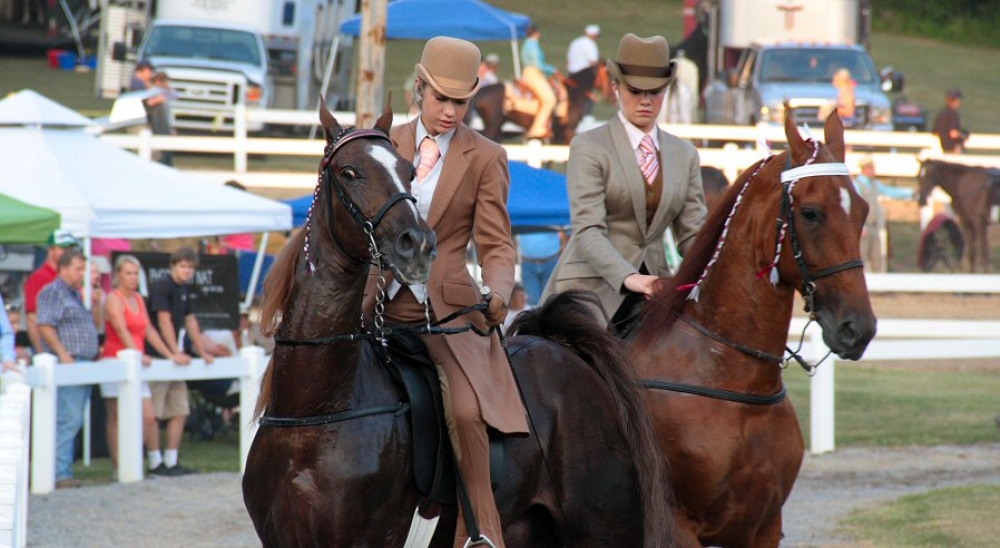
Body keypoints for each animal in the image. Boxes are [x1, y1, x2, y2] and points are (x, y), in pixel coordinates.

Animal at [243, 105, 676, 544]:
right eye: (349, 172)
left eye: (408, 171)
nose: (416, 243)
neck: (318, 410)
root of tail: (562, 351)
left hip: (602, 528)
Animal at [516, 112, 876, 548]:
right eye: (810, 213)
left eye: (862, 211)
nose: (858, 328)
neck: (732, 379)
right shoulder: (680, 527)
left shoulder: (763, 526)